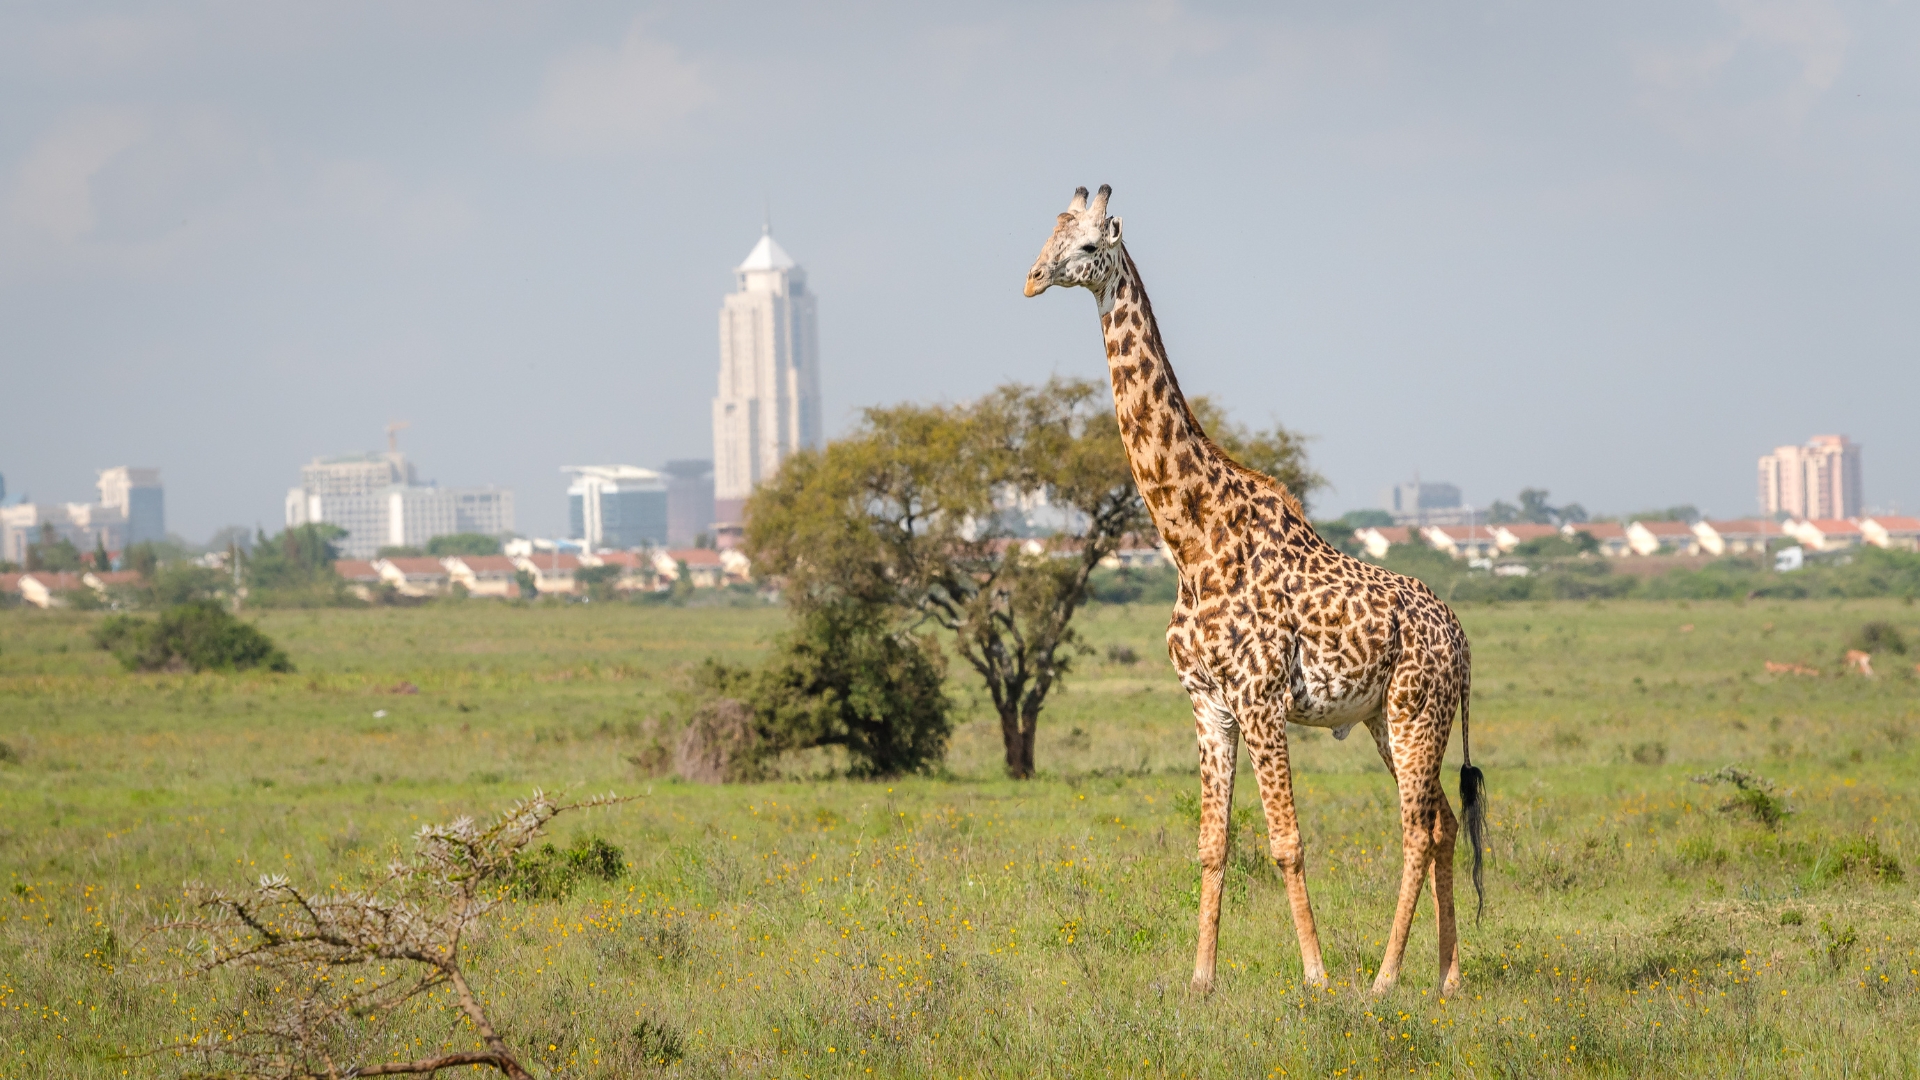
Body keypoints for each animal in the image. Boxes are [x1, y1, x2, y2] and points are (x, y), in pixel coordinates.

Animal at [1024, 185, 1487, 997]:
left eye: (1086, 245)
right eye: (1049, 234)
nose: (1032, 278)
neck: (1191, 537)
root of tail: (1461, 641)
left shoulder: (1261, 698)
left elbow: (1286, 841)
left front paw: (1316, 977)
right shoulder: (1208, 702)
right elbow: (1212, 843)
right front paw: (1201, 980)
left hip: (1416, 710)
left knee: (1415, 828)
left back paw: (1384, 979)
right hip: (1384, 718)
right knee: (1443, 824)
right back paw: (1447, 977)